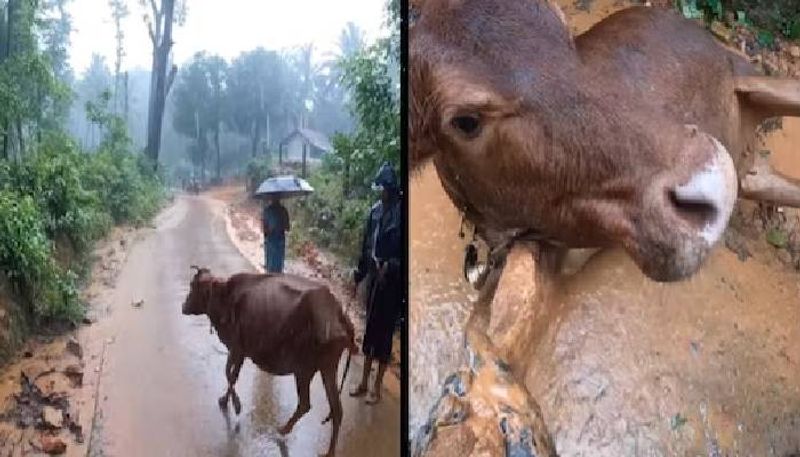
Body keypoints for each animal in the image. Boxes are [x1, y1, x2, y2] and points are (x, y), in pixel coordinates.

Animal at [183, 266, 358, 456]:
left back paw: (283, 430)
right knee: (335, 409)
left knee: (306, 403)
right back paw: (328, 450)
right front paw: (225, 400)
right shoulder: (241, 352)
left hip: (304, 369)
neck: (226, 296)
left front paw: (236, 405)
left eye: (193, 286)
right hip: (326, 367)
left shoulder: (237, 348)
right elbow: (233, 375)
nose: (183, 307)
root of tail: (340, 313)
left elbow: (228, 372)